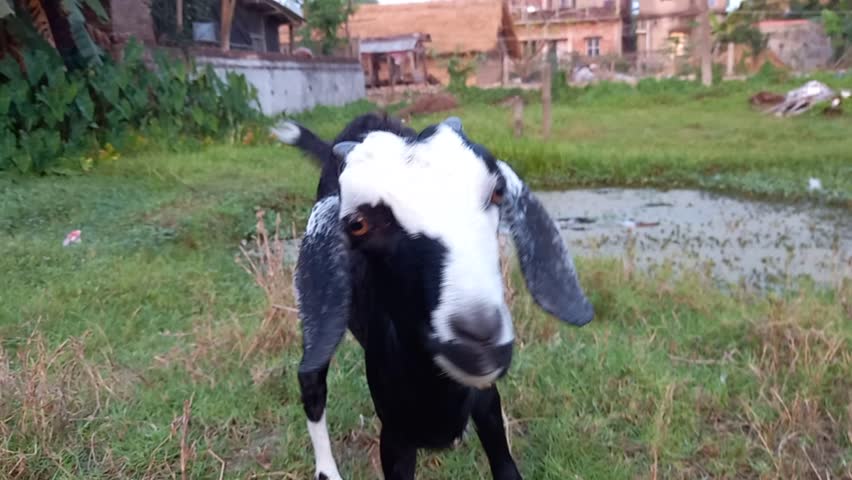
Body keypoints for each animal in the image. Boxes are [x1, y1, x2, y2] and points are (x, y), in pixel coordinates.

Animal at [271, 112, 594, 480]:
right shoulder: (395, 432)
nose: (477, 336)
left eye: (497, 193)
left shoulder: (487, 400)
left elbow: (505, 464)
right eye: (358, 224)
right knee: (312, 384)